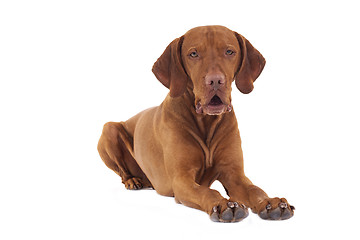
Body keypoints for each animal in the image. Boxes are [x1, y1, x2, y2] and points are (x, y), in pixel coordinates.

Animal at [97, 25, 294, 222]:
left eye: (229, 52)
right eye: (193, 54)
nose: (215, 81)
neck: (206, 122)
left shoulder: (234, 174)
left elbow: (254, 189)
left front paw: (271, 203)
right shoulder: (182, 180)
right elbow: (208, 192)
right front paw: (224, 205)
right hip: (109, 128)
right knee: (122, 170)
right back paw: (132, 180)